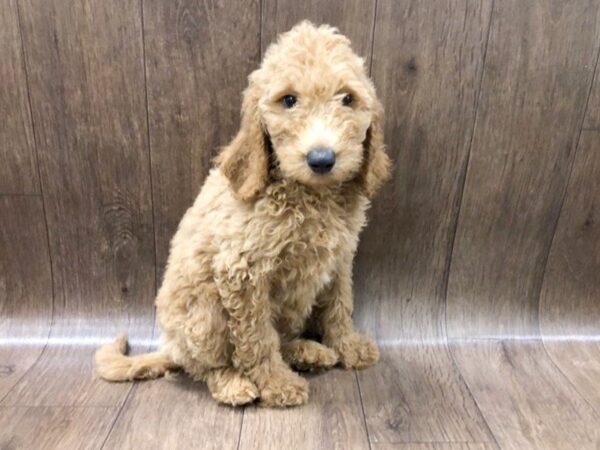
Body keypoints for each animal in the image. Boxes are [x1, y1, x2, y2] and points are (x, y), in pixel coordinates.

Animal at [96, 21, 392, 408]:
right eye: (289, 100)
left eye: (347, 99)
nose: (322, 159)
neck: (311, 196)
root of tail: (171, 349)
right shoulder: (242, 271)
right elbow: (256, 336)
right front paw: (276, 384)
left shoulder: (339, 258)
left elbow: (339, 304)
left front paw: (348, 346)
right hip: (204, 314)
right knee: (208, 365)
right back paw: (234, 383)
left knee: (281, 337)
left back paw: (307, 352)